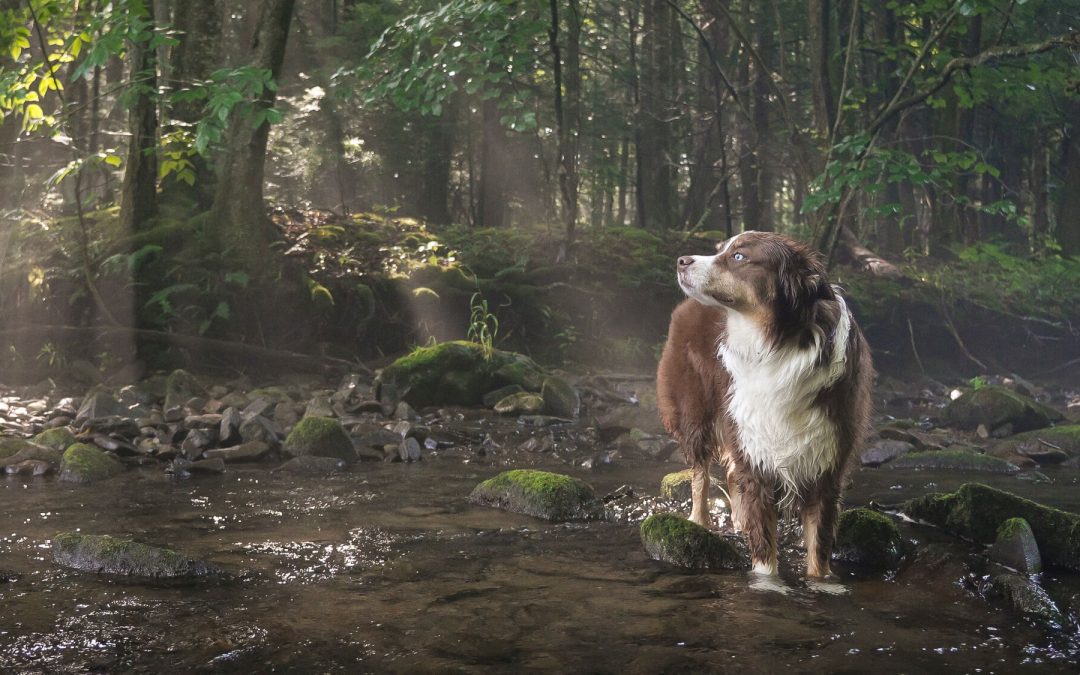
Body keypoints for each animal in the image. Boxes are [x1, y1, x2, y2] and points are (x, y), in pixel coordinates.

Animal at [652, 230, 872, 574]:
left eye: (739, 256)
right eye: (720, 250)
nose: (682, 260)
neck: (776, 346)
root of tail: (686, 305)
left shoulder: (825, 464)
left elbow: (818, 550)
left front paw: (821, 580)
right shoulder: (755, 449)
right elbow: (765, 557)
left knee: (729, 473)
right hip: (696, 415)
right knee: (700, 472)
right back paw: (699, 521)